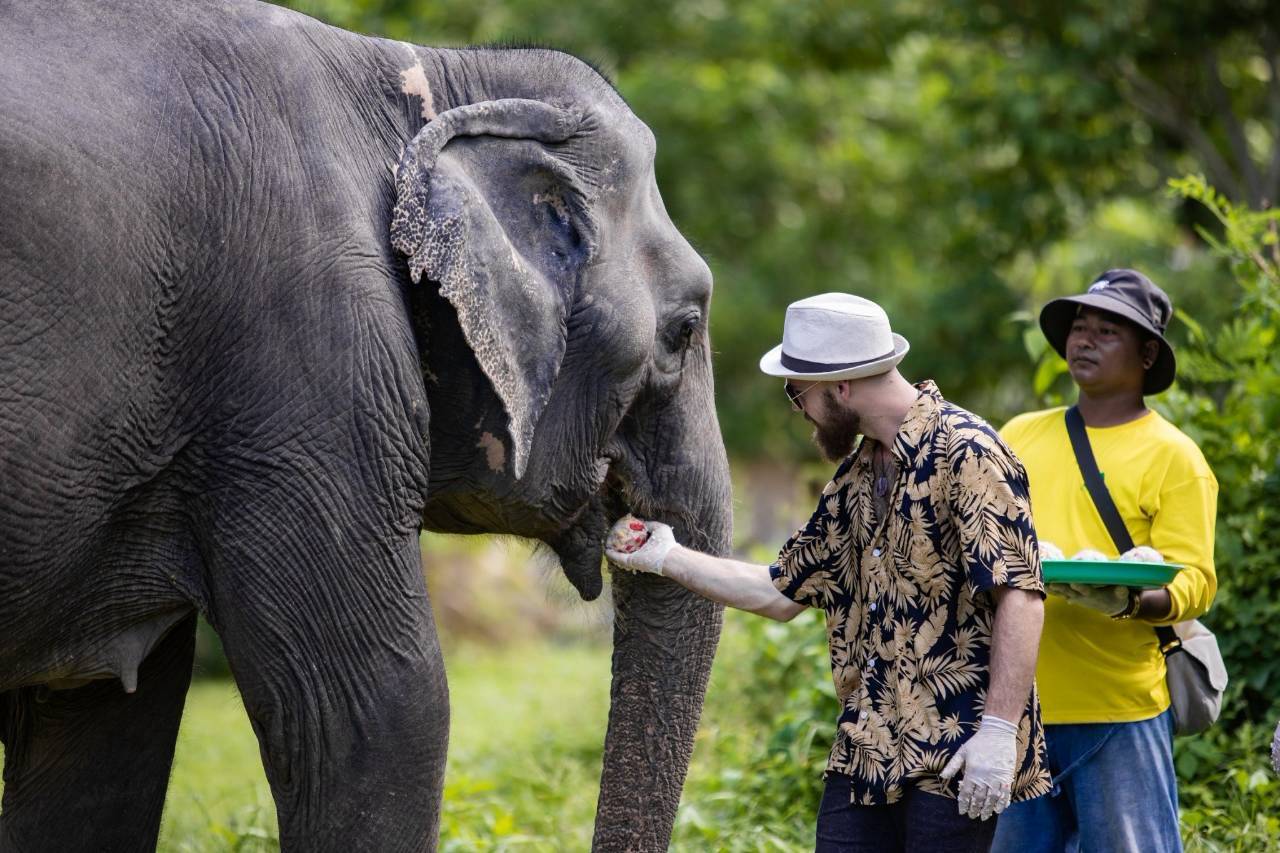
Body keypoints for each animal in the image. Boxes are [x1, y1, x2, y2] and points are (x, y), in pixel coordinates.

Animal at [0, 1, 732, 849]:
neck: (428, 78)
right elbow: (376, 711)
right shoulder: (301, 366)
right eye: (684, 329)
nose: (641, 530)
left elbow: (99, 749)